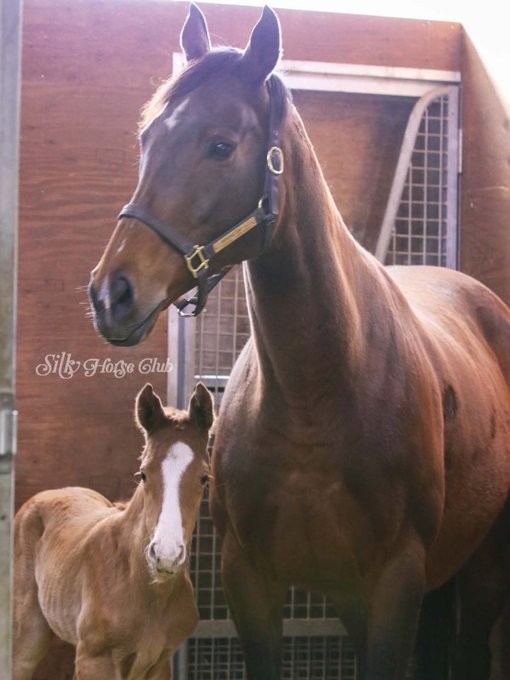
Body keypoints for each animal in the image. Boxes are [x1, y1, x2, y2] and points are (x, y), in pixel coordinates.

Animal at [13, 382, 214, 680]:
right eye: (143, 474)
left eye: (204, 478)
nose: (165, 555)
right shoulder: (95, 660)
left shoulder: (160, 662)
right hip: (26, 633)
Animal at [87, 5, 510, 678]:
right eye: (147, 140)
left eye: (220, 144)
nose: (111, 294)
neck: (320, 387)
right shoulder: (250, 580)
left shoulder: (394, 583)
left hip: (485, 565)